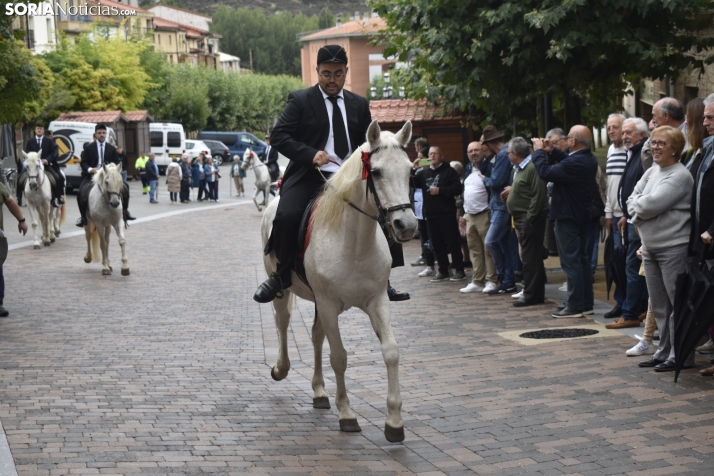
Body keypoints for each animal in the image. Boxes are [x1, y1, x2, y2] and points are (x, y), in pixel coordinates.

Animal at [260, 120, 418, 442]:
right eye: (377, 172)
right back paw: (281, 368)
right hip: (286, 291)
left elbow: (391, 351)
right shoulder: (329, 304)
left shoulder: (376, 300)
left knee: (316, 336)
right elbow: (340, 357)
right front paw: (346, 413)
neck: (354, 243)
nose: (406, 226)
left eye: (410, 171)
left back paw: (320, 392)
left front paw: (394, 421)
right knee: (282, 323)